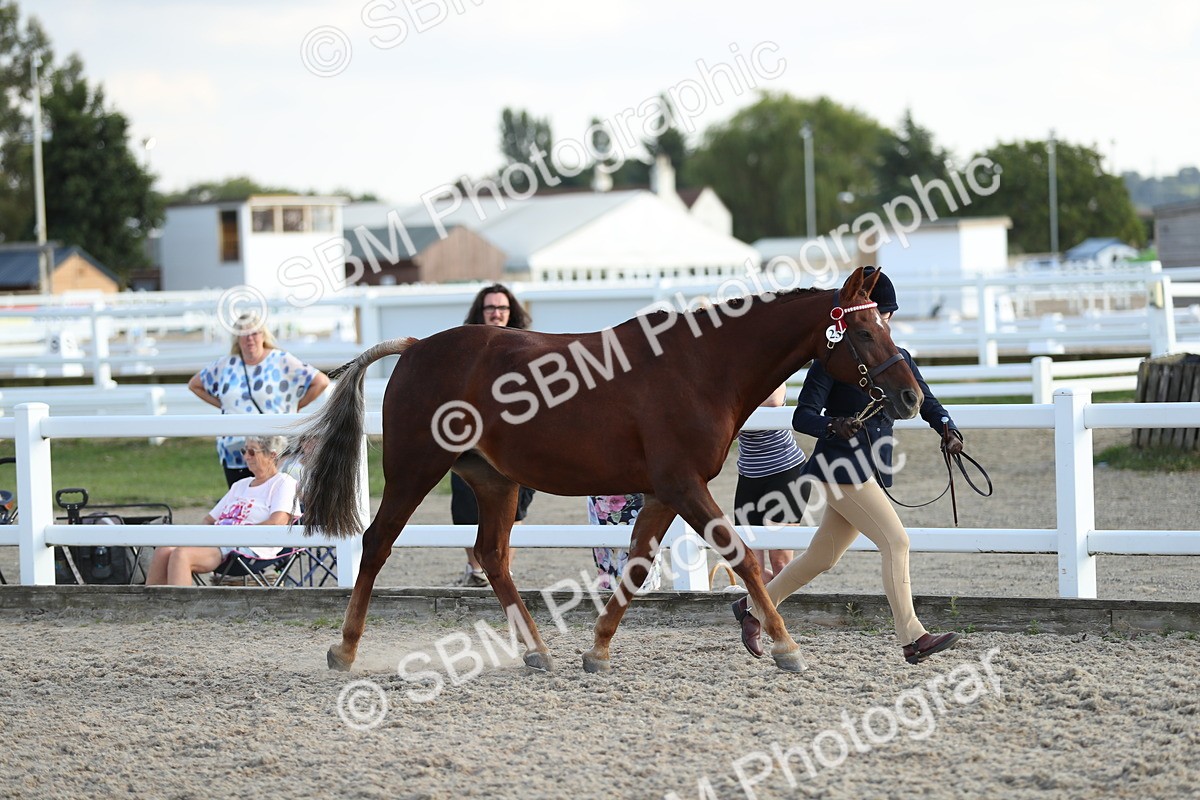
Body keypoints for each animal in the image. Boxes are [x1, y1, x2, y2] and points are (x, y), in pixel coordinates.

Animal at [295, 266, 923, 673]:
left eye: (886, 327)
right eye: (863, 332)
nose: (911, 397)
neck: (702, 367)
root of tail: (417, 345)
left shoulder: (665, 492)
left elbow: (637, 566)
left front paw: (596, 650)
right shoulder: (684, 486)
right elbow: (742, 556)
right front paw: (787, 648)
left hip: (495, 481)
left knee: (494, 557)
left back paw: (537, 652)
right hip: (413, 469)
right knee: (377, 543)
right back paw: (344, 650)